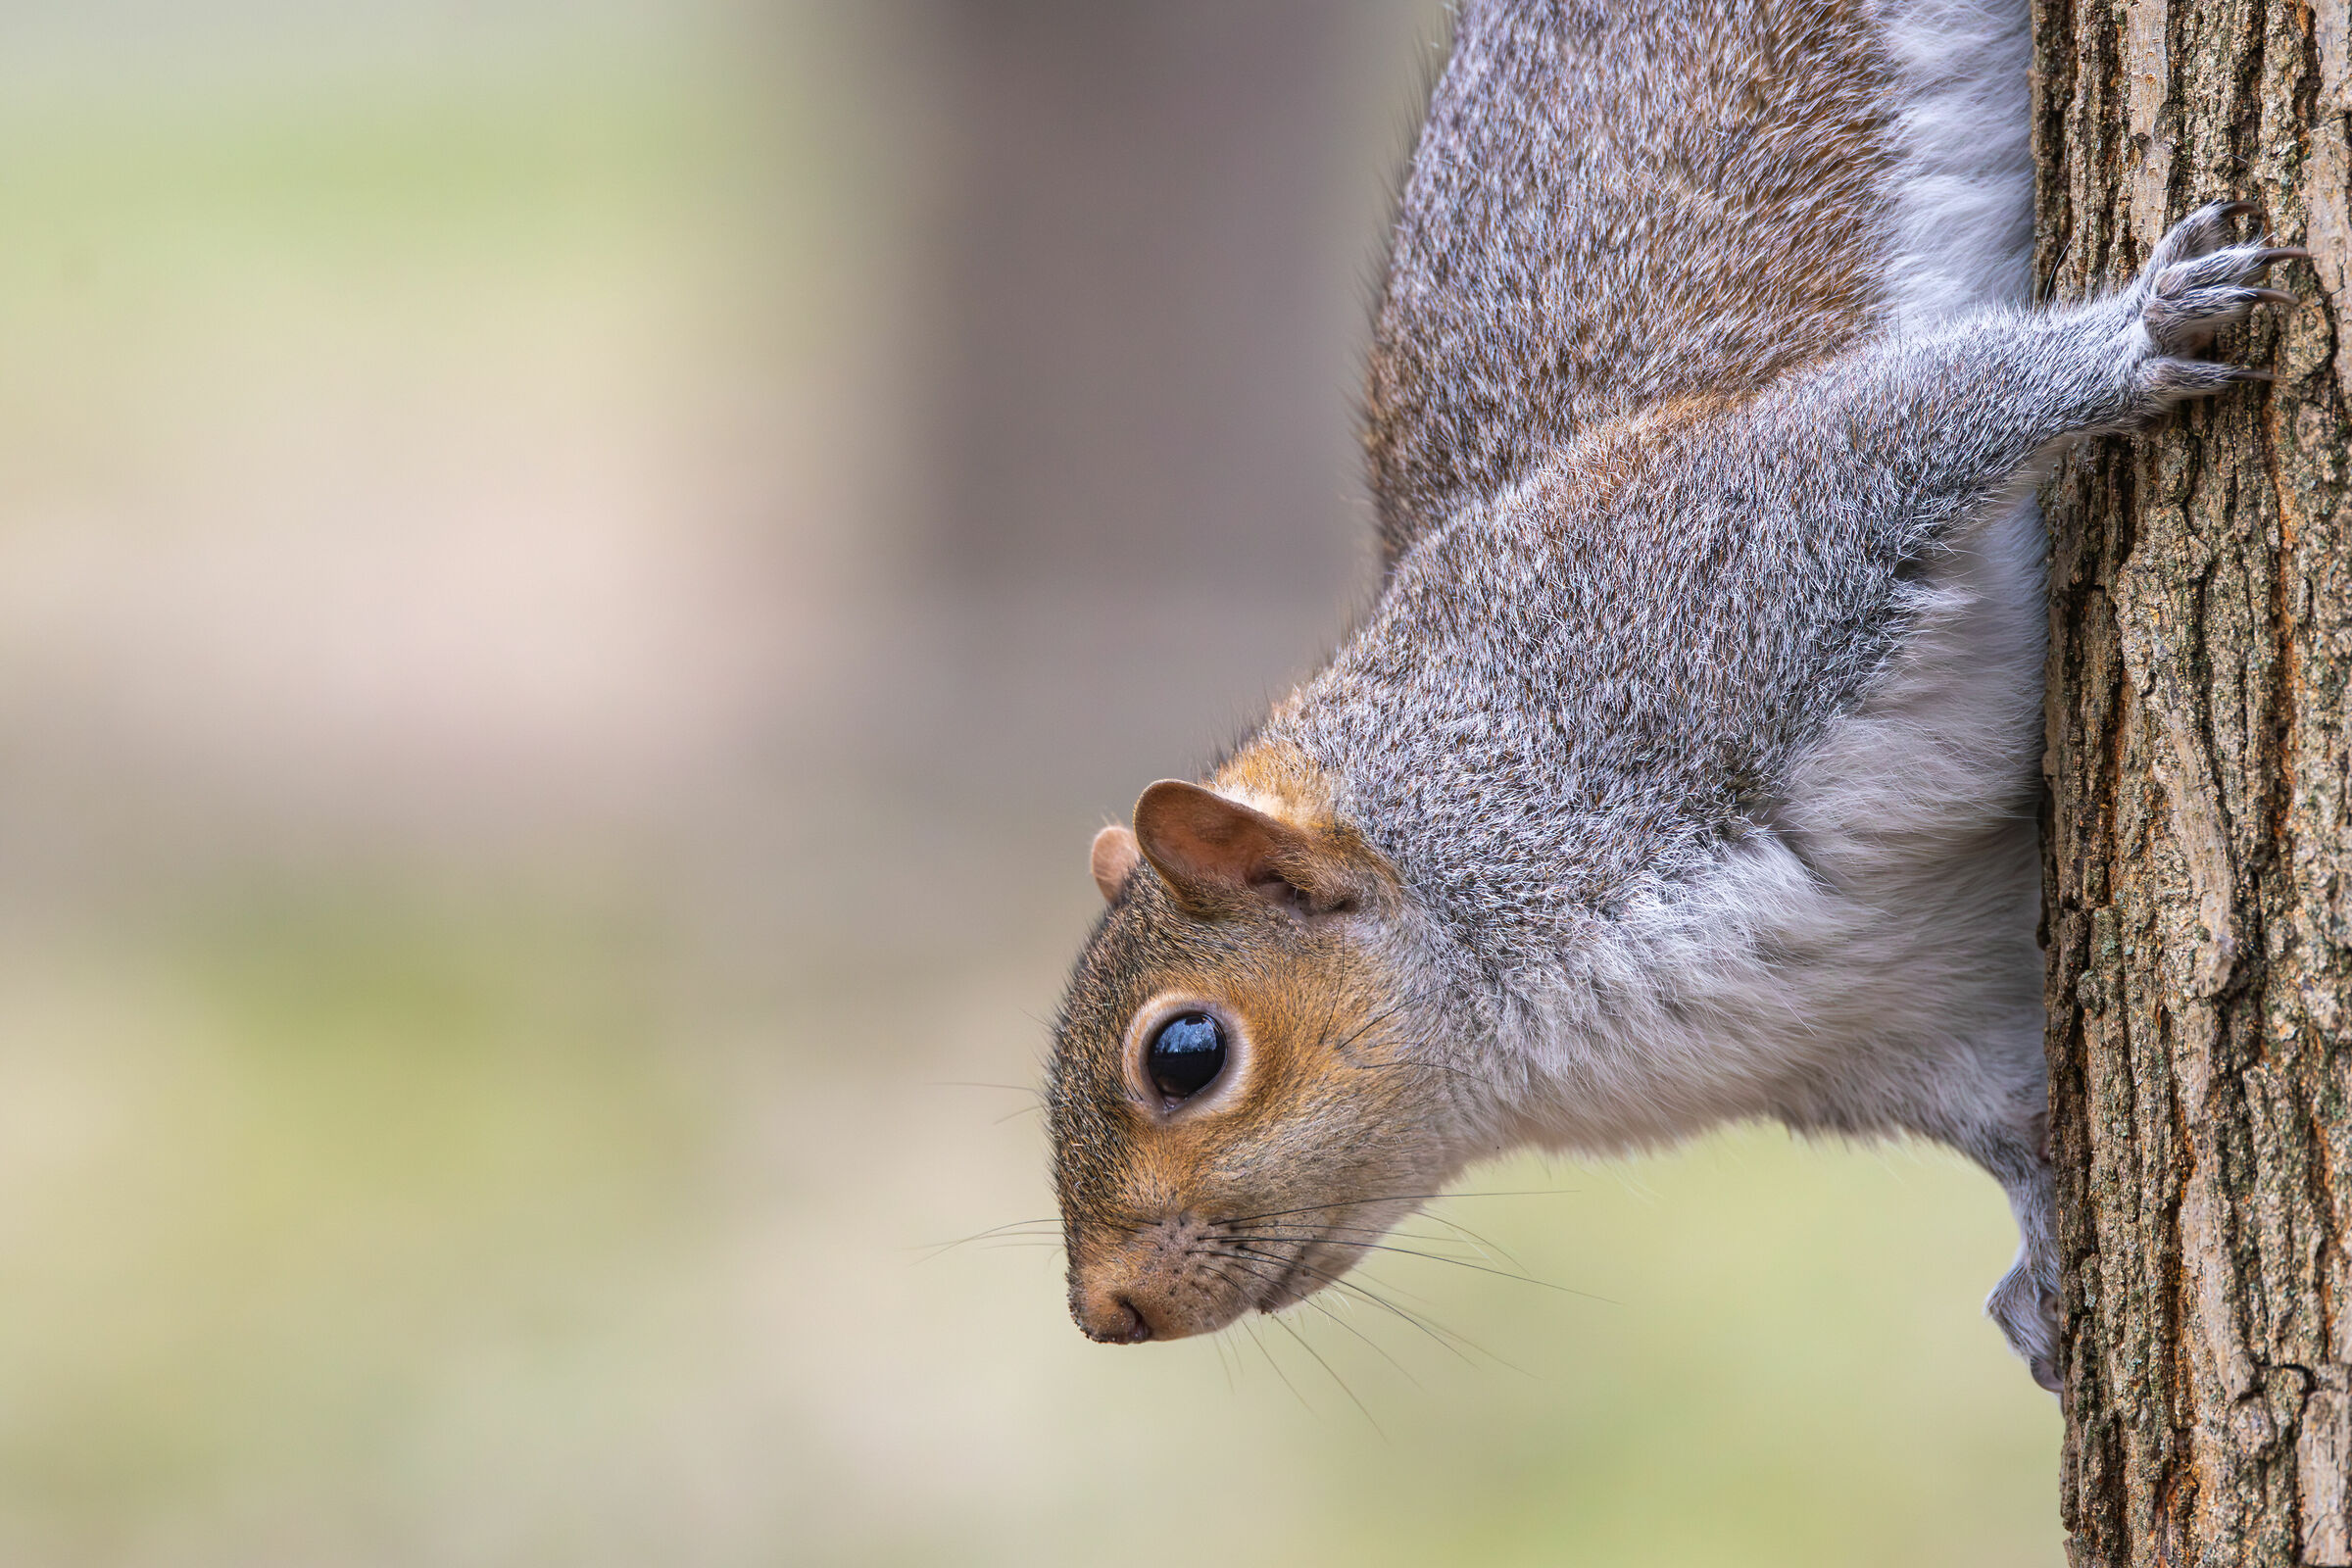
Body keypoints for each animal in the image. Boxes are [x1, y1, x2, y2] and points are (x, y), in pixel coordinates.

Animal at [1043, 0, 2303, 1393]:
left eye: (1184, 1054)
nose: (1107, 1312)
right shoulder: (1890, 1025)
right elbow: (2017, 1121)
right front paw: (2039, 1263)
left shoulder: (1699, 593)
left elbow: (1895, 433)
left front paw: (2137, 334)